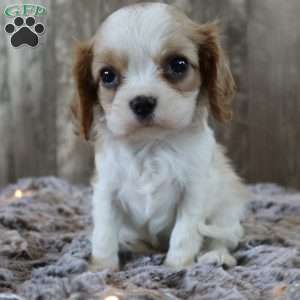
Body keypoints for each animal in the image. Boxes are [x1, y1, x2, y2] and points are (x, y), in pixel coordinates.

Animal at [72, 2, 246, 270]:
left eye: (178, 65)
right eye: (107, 75)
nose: (142, 102)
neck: (151, 144)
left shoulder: (195, 190)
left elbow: (184, 233)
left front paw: (177, 266)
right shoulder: (106, 190)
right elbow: (103, 234)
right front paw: (102, 268)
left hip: (227, 208)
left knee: (222, 237)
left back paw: (216, 255)